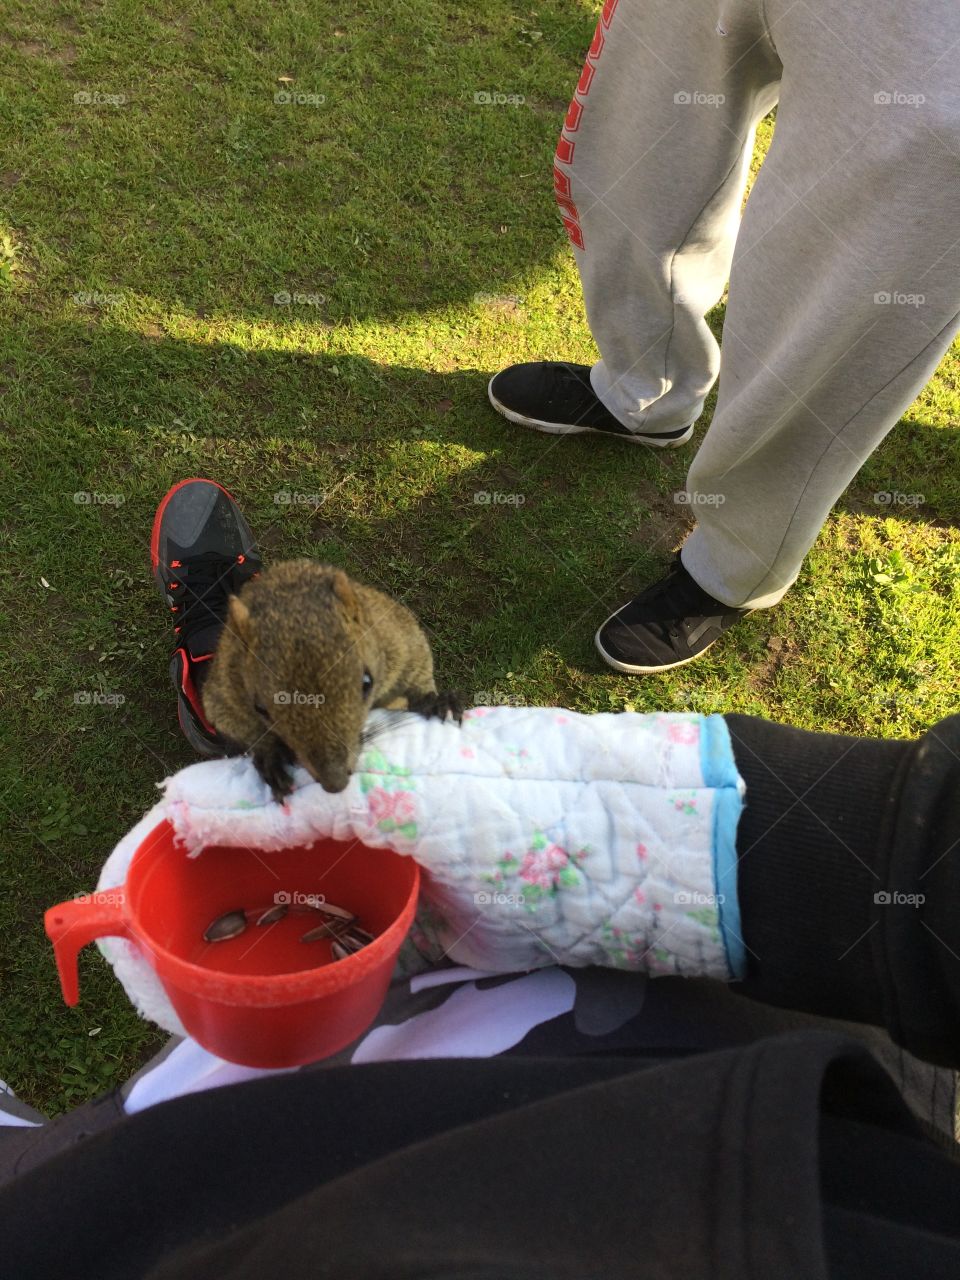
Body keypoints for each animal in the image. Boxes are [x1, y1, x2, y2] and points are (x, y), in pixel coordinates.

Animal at [201, 559, 461, 800]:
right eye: (260, 708)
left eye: (367, 683)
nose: (334, 784)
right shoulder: (224, 691)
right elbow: (236, 725)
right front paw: (270, 757)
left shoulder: (399, 639)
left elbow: (417, 669)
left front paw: (435, 701)